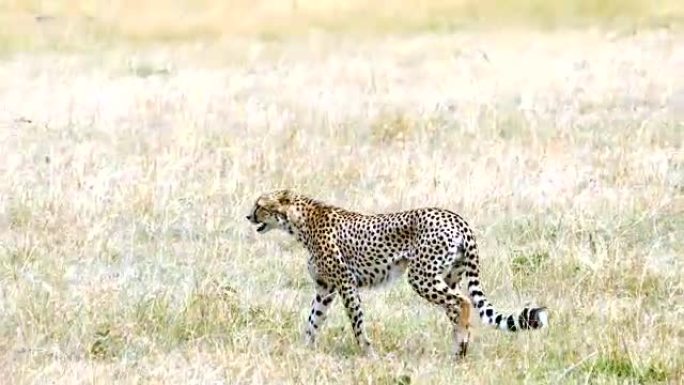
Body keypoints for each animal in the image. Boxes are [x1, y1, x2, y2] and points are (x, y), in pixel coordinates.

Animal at [243, 189, 548, 356]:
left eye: (260, 205)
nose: (248, 216)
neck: (300, 222)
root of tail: (456, 217)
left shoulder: (345, 283)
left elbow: (356, 321)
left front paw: (368, 353)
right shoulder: (324, 288)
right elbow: (313, 320)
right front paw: (303, 348)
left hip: (421, 276)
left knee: (461, 303)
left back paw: (460, 347)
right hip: (448, 276)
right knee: (456, 306)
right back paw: (458, 350)